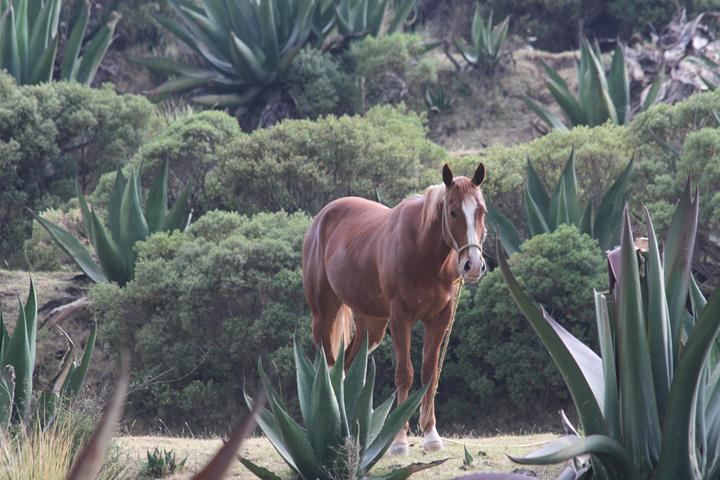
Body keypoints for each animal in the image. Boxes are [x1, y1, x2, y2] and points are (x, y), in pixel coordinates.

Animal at [300, 163, 486, 456]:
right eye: (453, 211)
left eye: (482, 211)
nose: (473, 265)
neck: (424, 253)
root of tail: (320, 219)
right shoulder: (401, 318)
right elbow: (404, 374)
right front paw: (398, 440)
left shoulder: (439, 319)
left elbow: (429, 373)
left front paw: (431, 435)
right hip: (323, 314)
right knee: (329, 366)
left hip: (372, 325)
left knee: (348, 363)